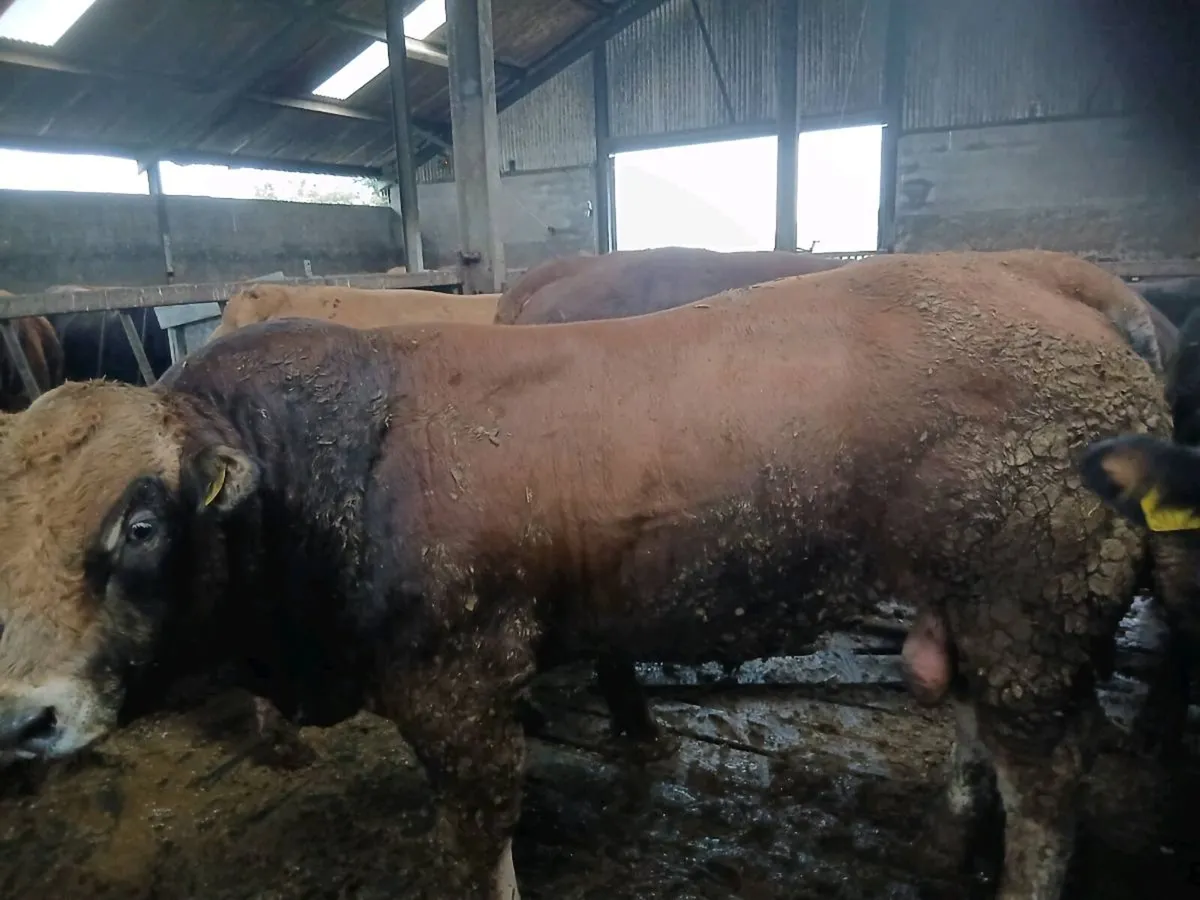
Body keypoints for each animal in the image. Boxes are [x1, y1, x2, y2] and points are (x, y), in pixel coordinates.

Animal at [0, 249, 1178, 900]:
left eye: (141, 522)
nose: (21, 719)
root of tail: (1053, 281)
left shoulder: (459, 685)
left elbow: (478, 845)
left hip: (1034, 613)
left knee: (1048, 791)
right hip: (985, 612)